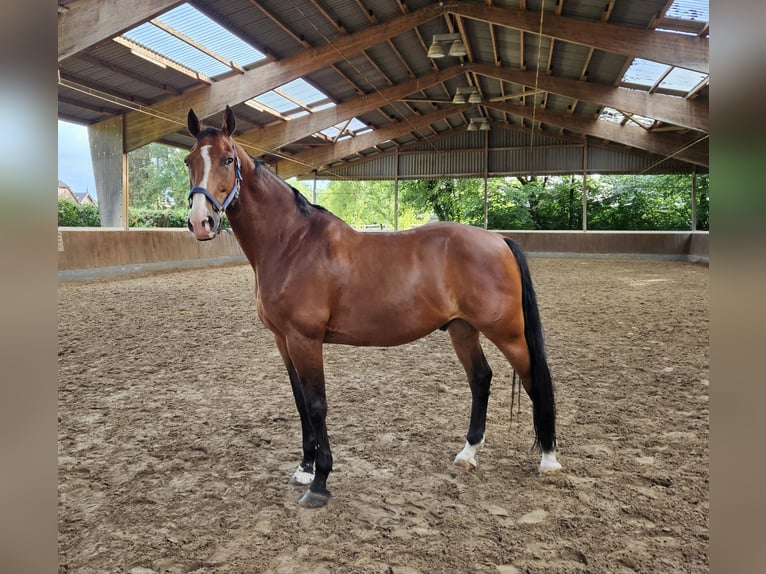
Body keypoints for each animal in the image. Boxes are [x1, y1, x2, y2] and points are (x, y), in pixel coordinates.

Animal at [184, 107, 560, 508]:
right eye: (190, 160)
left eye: (227, 159)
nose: (201, 222)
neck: (293, 243)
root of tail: (498, 239)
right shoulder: (283, 340)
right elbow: (300, 402)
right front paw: (305, 468)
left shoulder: (305, 340)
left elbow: (316, 405)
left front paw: (320, 483)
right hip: (462, 328)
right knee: (480, 378)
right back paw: (468, 453)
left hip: (508, 333)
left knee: (534, 379)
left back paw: (549, 460)